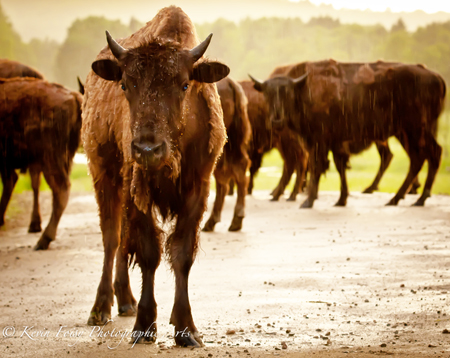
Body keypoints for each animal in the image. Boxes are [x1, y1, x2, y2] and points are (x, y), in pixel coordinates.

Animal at [82, 5, 229, 346]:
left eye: (185, 84)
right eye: (125, 85)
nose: (147, 148)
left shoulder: (197, 189)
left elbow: (181, 254)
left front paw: (186, 328)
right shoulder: (137, 189)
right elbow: (149, 252)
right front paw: (144, 324)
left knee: (122, 242)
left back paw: (125, 300)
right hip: (104, 177)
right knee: (112, 239)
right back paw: (101, 308)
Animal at [251, 59, 444, 207]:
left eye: (288, 94)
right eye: (267, 94)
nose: (276, 120)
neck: (304, 89)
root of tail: (437, 78)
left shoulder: (319, 141)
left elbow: (317, 166)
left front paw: (308, 202)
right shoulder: (334, 142)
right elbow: (339, 166)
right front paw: (341, 200)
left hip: (415, 130)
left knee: (432, 154)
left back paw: (418, 198)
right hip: (406, 133)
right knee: (418, 159)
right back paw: (397, 199)